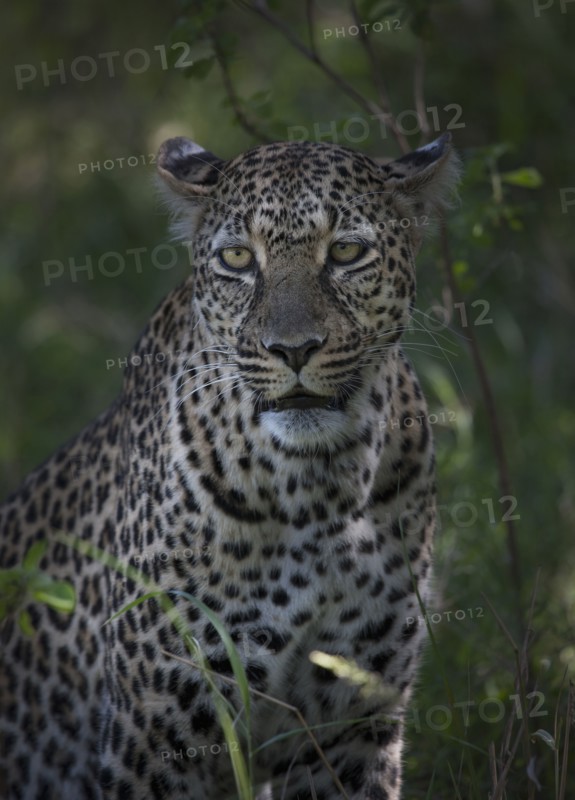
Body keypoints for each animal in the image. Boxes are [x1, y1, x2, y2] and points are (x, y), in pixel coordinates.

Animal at [0, 132, 460, 800]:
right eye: (239, 258)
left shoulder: (353, 726)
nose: (293, 349)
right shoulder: (154, 739)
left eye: (346, 251)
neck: (320, 490)